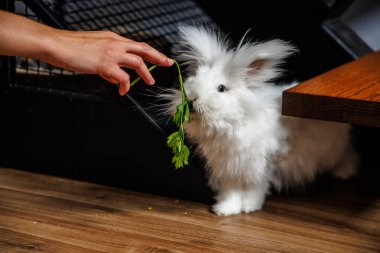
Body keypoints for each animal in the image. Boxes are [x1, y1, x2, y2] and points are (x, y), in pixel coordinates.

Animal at [162, 25, 358, 215]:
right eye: (192, 80)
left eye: (221, 88)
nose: (191, 98)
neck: (233, 124)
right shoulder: (228, 169)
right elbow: (231, 191)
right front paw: (225, 210)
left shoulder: (259, 167)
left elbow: (254, 188)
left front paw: (250, 206)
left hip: (334, 149)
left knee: (347, 153)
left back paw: (345, 172)